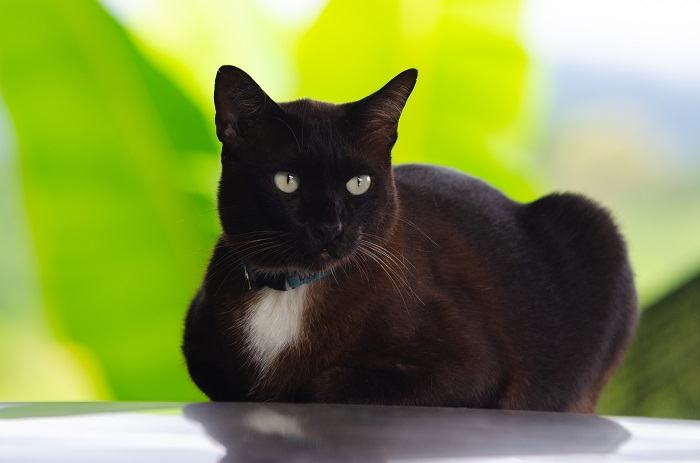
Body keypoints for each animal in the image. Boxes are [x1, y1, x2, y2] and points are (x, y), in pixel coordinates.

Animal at [182, 63, 640, 412]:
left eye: (359, 184)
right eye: (287, 181)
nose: (329, 227)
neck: (291, 291)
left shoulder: (470, 367)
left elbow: (324, 382)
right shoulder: (198, 344)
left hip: (593, 222)